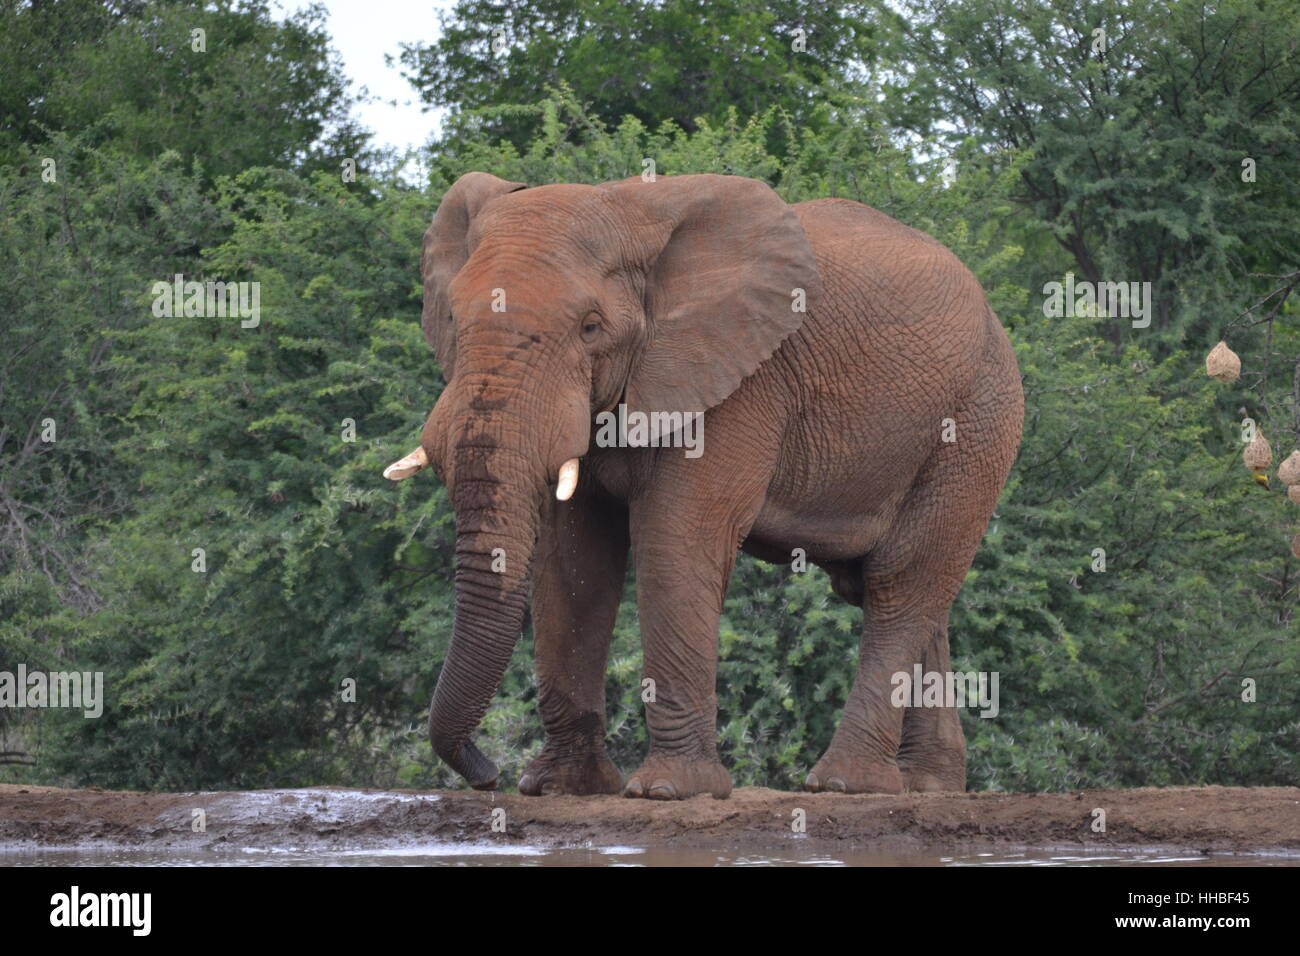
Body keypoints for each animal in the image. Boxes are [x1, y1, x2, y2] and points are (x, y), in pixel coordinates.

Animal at [384, 171, 1024, 801]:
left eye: (590, 327)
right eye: (452, 320)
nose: (487, 774)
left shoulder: (740, 380)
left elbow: (678, 541)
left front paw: (671, 791)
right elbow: (574, 561)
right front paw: (562, 788)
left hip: (976, 422)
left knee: (901, 583)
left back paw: (849, 784)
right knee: (898, 590)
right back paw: (927, 787)